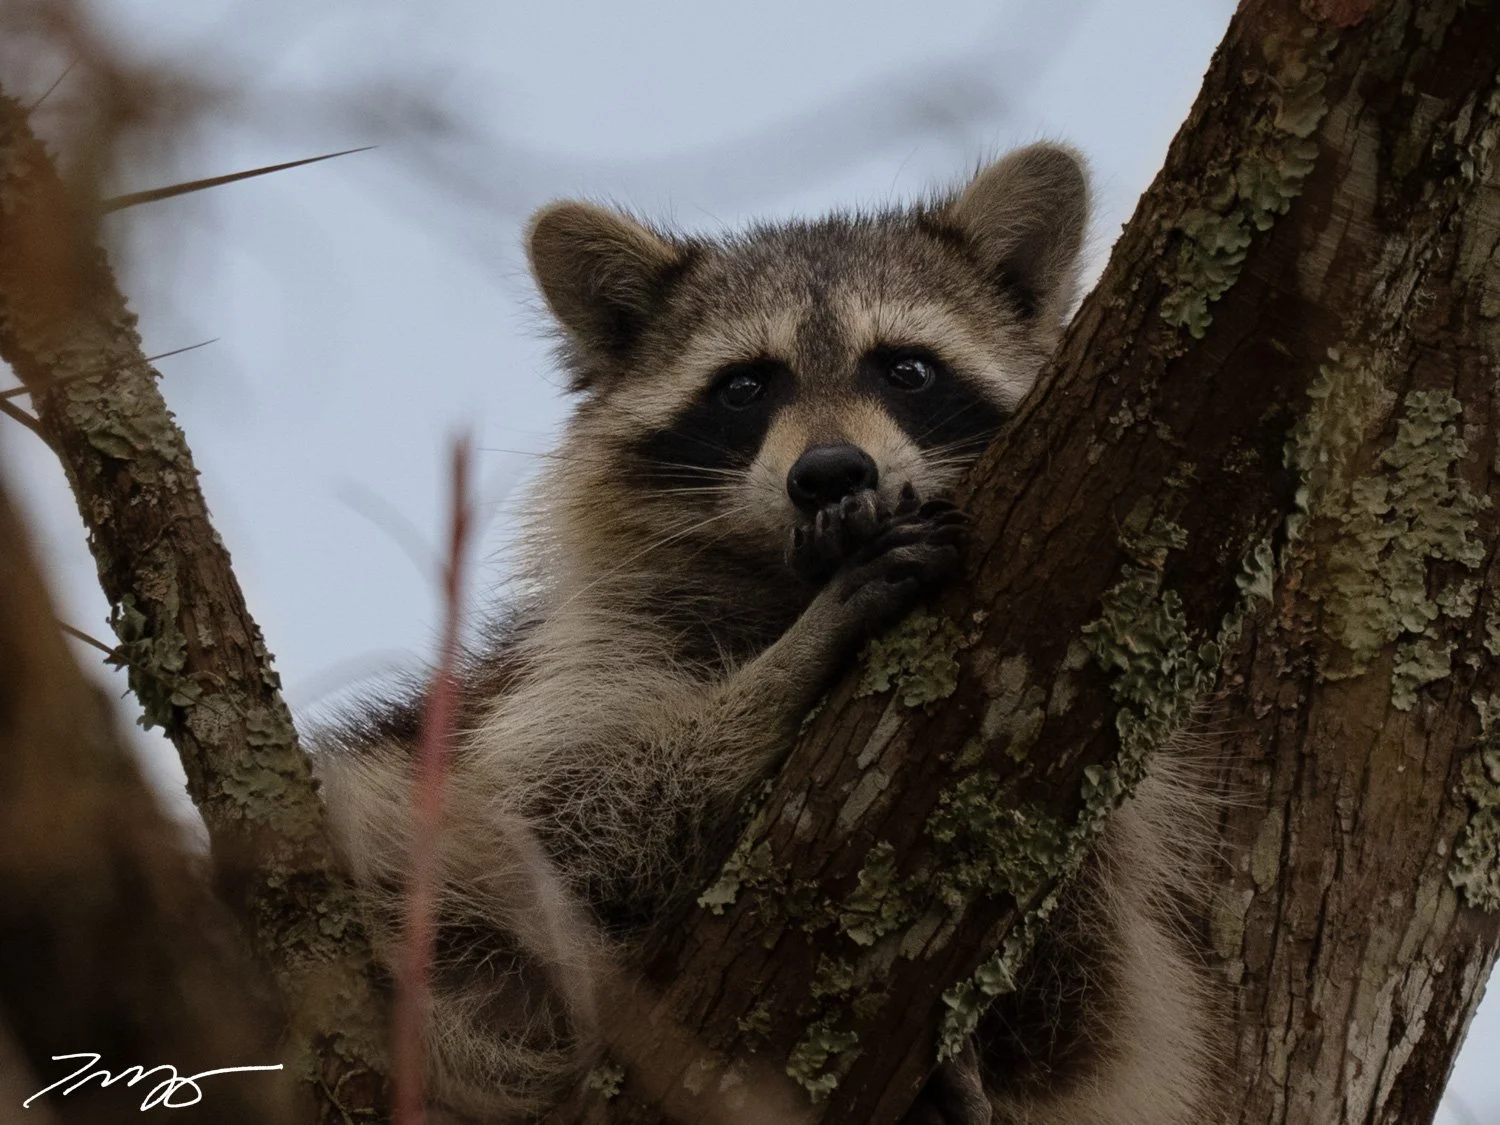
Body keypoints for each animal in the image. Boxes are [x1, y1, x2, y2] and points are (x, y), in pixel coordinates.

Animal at [315, 142, 1217, 1124]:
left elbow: (1081, 1009)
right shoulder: (578, 665)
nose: (829, 474)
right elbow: (554, 817)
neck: (789, 581)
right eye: (745, 387)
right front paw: (782, 678)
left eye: (906, 370)